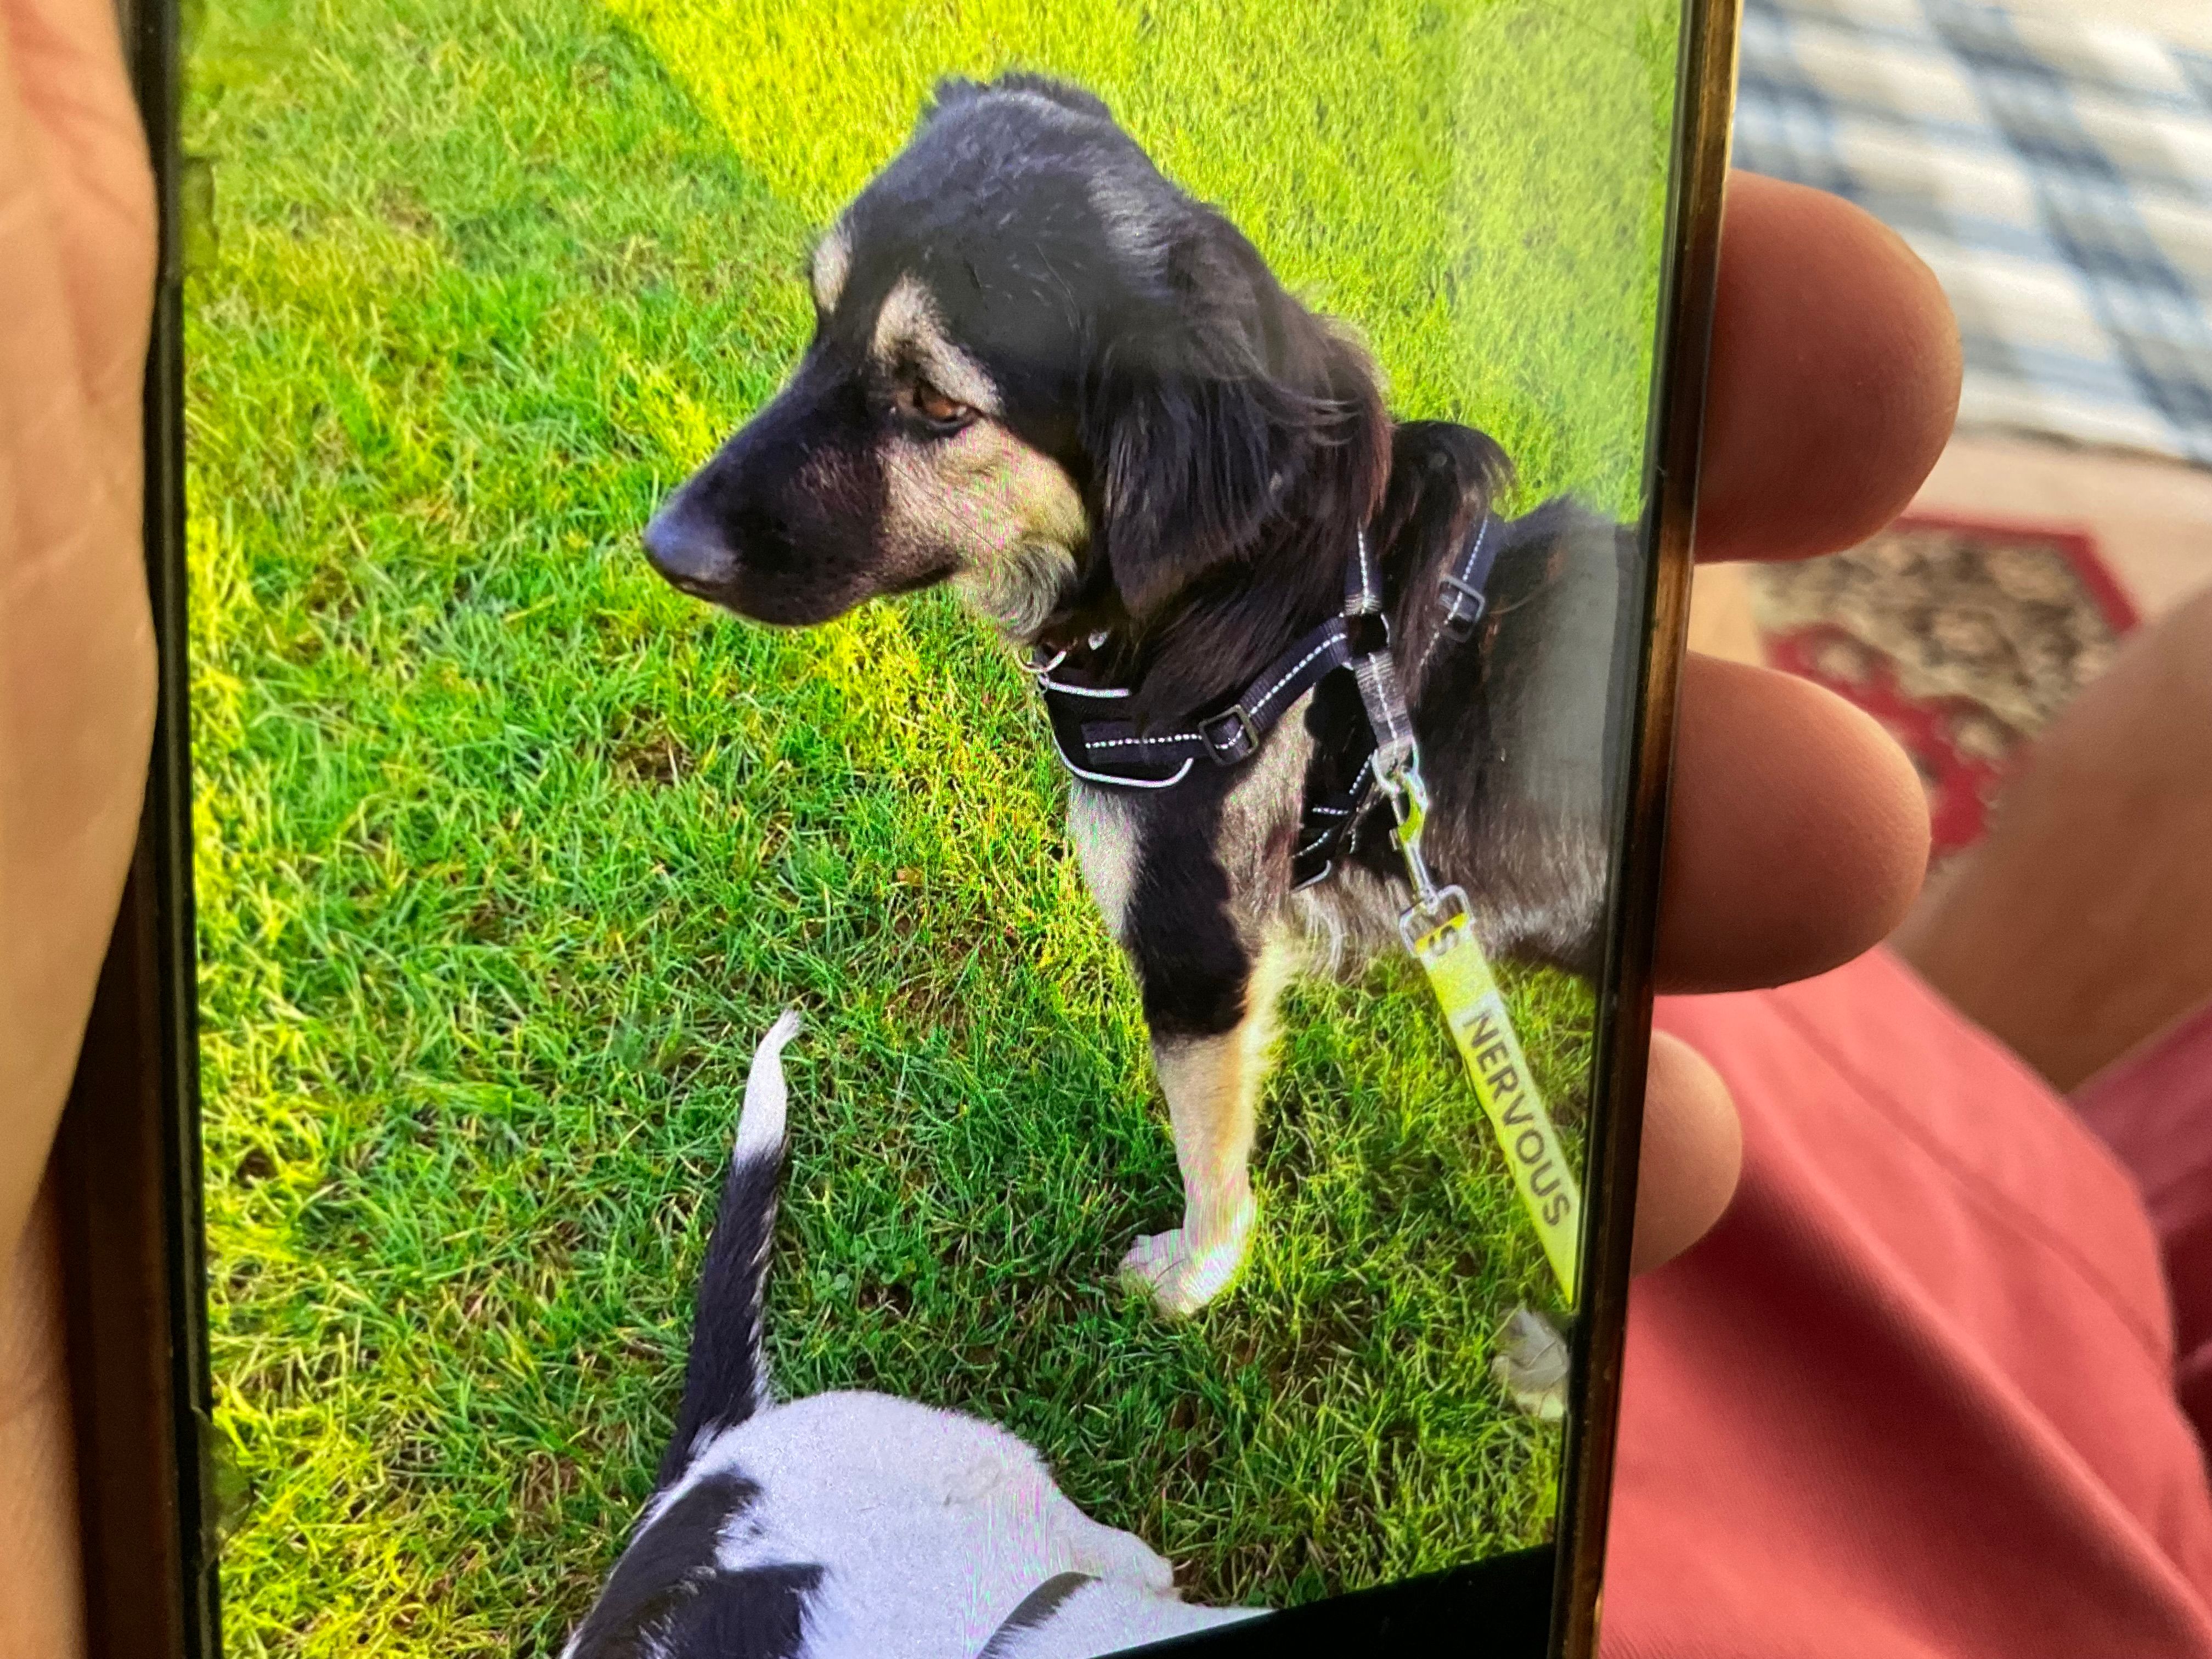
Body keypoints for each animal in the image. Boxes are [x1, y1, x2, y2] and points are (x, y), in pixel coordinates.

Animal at [642, 74, 1637, 1315]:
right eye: (819, 319)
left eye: (937, 404)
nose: (663, 546)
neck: (1243, 604)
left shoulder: (1201, 952)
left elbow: (1206, 1142)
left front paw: (1195, 1275)